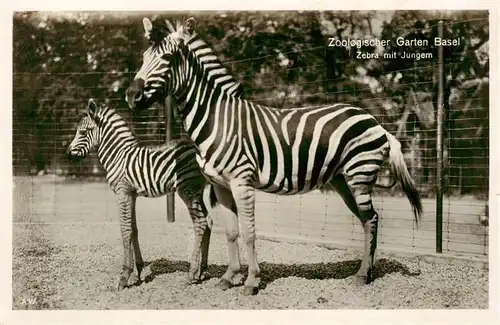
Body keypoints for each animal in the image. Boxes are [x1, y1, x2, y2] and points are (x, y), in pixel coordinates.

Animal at [66, 98, 215, 288]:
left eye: (83, 132)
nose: (68, 155)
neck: (118, 155)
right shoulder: (132, 194)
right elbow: (133, 229)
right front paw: (137, 271)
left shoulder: (122, 192)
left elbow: (125, 229)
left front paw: (124, 276)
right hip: (197, 191)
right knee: (208, 221)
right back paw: (202, 271)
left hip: (187, 189)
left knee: (201, 223)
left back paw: (192, 274)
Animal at [125, 18, 422, 296]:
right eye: (143, 58)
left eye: (167, 59)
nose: (131, 96)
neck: (217, 119)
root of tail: (375, 120)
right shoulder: (221, 186)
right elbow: (231, 233)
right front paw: (228, 278)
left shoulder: (241, 182)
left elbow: (249, 233)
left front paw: (252, 281)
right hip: (343, 180)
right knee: (367, 220)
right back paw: (367, 272)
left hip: (359, 174)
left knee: (372, 219)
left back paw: (362, 275)